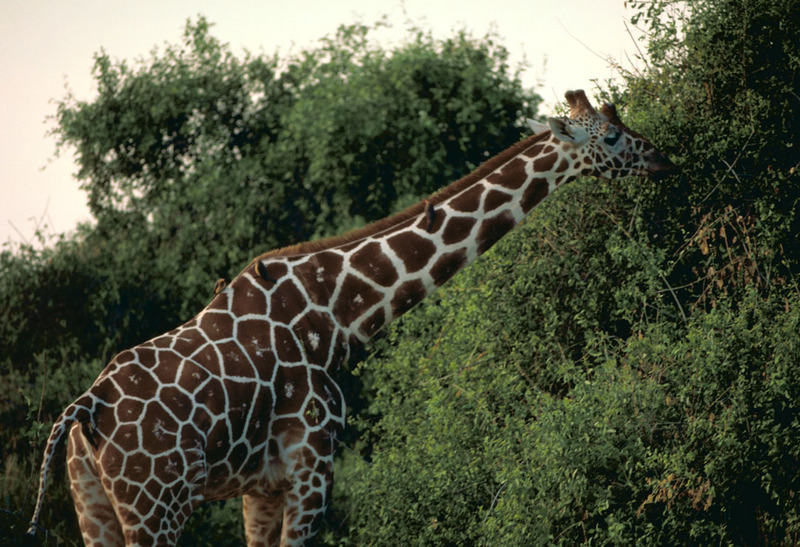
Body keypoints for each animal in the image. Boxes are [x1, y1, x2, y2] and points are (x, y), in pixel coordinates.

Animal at [25, 92, 676, 544]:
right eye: (612, 137)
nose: (663, 158)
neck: (336, 318)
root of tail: (83, 410)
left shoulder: (262, 484)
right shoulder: (313, 463)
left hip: (94, 504)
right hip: (155, 502)